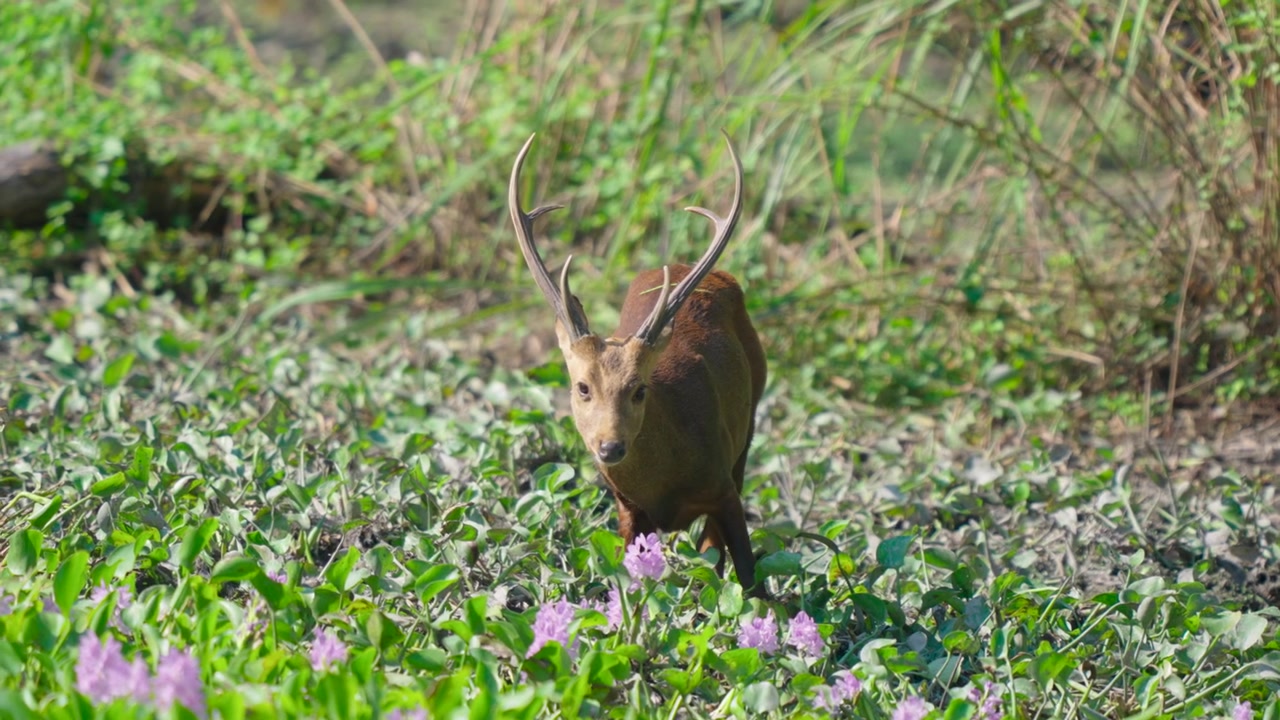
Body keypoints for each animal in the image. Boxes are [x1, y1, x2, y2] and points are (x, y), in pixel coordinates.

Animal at [508, 131, 768, 598]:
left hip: (751, 415)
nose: (610, 447)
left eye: (639, 389)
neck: (664, 484)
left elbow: (750, 578)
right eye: (582, 386)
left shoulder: (722, 485)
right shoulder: (626, 508)